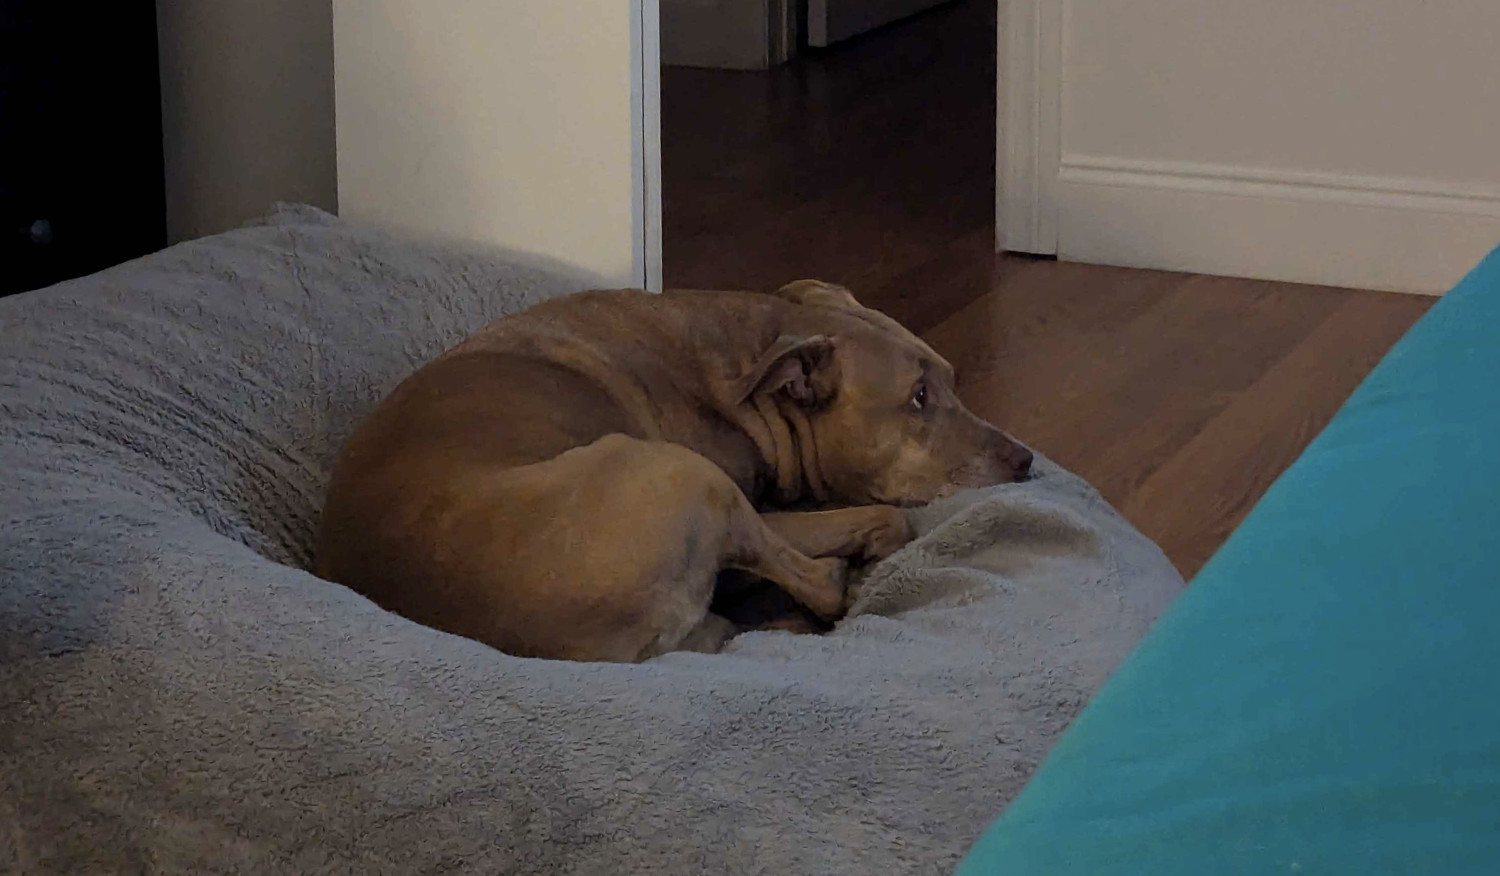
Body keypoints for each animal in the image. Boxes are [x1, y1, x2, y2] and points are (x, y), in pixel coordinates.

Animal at [316, 282, 1032, 663]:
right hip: (683, 477)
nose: (1025, 461)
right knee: (827, 579)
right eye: (918, 398)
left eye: (953, 380)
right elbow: (880, 519)